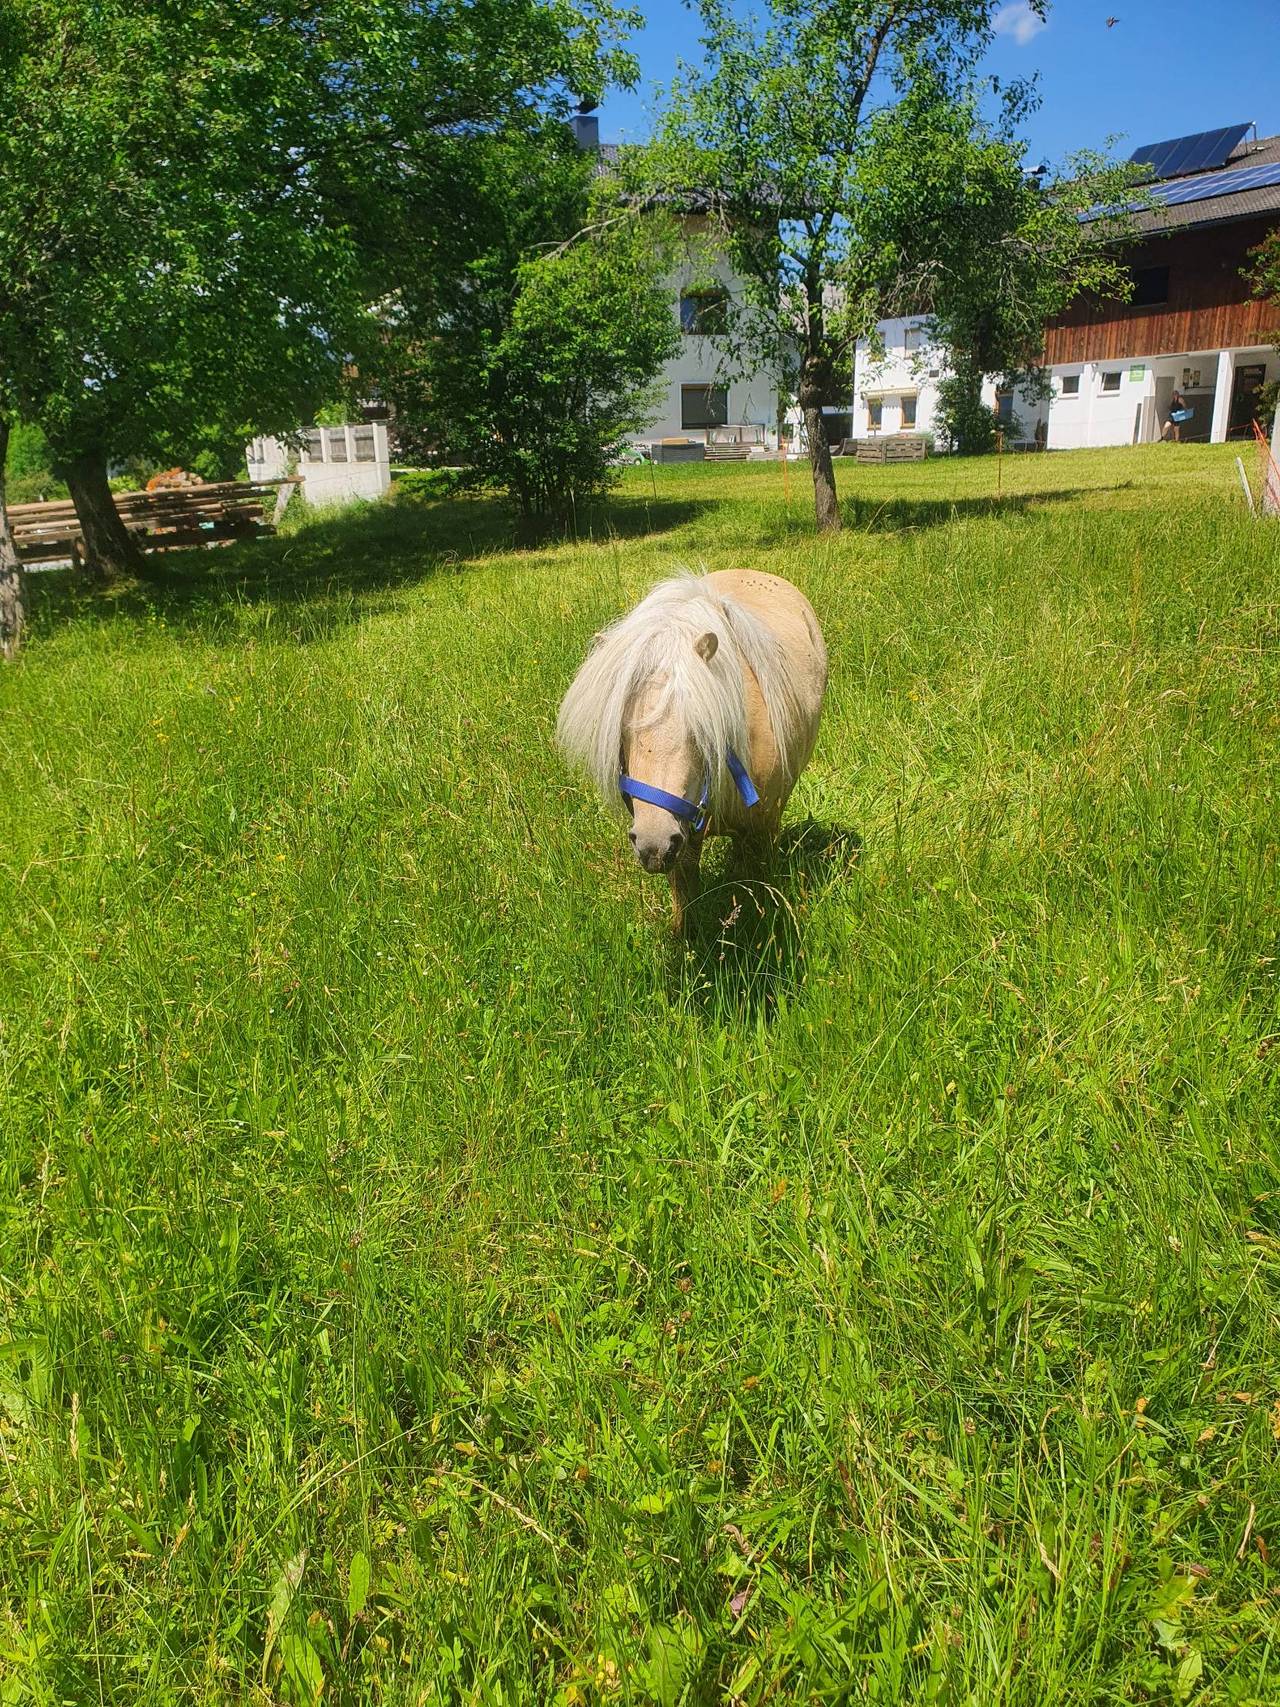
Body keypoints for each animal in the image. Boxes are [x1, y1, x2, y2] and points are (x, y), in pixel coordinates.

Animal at [559, 566, 832, 928]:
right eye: (620, 733)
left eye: (700, 729)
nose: (653, 844)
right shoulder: (683, 843)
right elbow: (685, 899)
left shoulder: (763, 829)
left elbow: (758, 885)